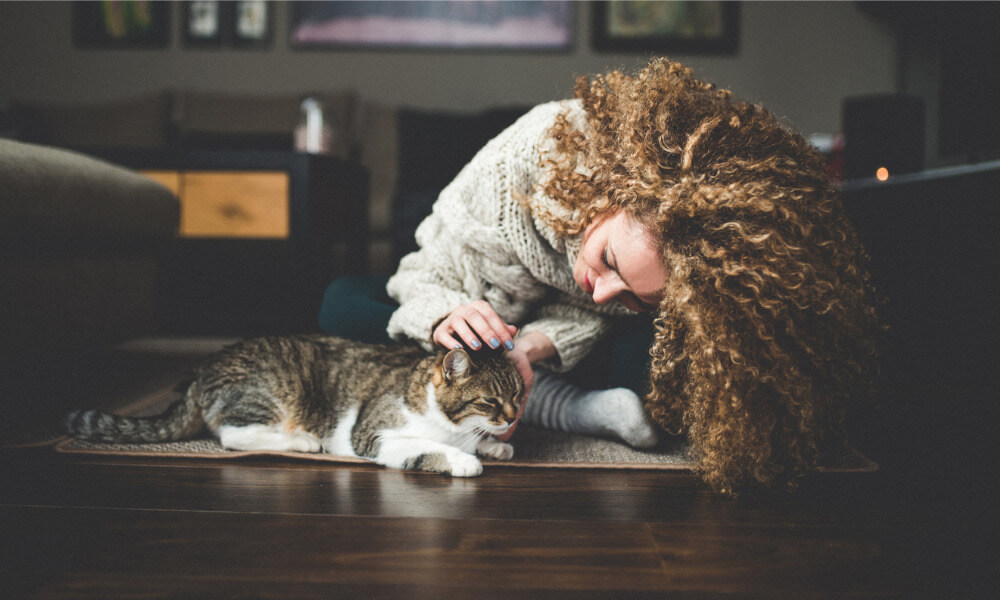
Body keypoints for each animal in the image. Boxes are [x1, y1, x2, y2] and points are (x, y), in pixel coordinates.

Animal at [64, 336, 524, 476]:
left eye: (518, 394)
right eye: (489, 401)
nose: (513, 417)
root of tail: (202, 369)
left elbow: (478, 441)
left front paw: (495, 446)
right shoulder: (371, 435)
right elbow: (426, 448)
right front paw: (464, 460)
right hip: (276, 390)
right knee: (232, 434)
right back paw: (301, 442)